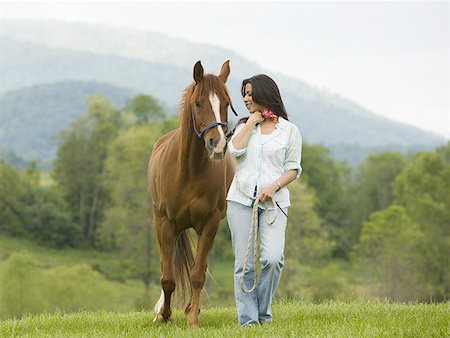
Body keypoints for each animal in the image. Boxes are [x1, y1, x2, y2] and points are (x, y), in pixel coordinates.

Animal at [149, 60, 237, 328]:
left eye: (226, 104)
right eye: (198, 103)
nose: (217, 145)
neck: (189, 171)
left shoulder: (210, 224)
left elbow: (197, 274)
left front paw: (193, 318)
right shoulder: (166, 223)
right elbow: (168, 277)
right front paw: (164, 315)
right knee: (165, 265)